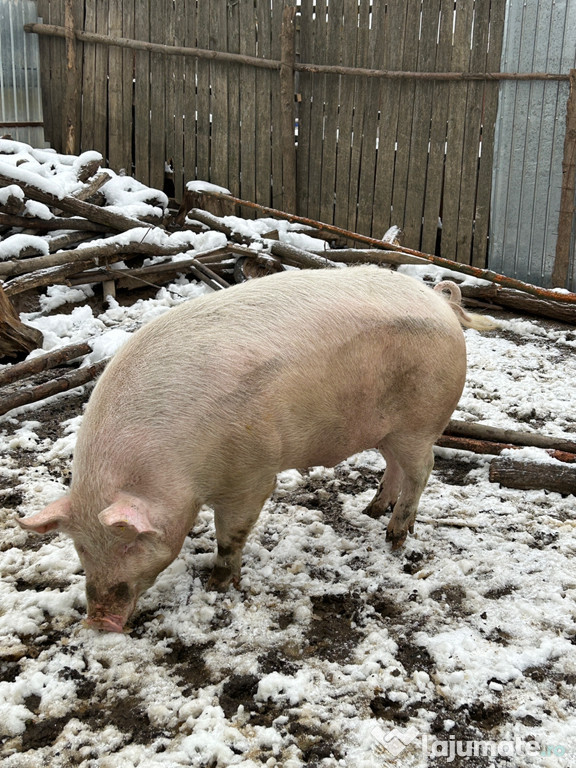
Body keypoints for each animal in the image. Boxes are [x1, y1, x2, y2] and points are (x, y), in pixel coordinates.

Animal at [18, 268, 496, 632]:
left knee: (422, 468)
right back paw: (370, 511)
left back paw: (394, 537)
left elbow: (232, 533)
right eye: (82, 549)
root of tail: (440, 301)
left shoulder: (251, 473)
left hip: (419, 422)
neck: (173, 468)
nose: (99, 621)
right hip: (388, 429)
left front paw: (217, 586)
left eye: (128, 543)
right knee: (394, 467)